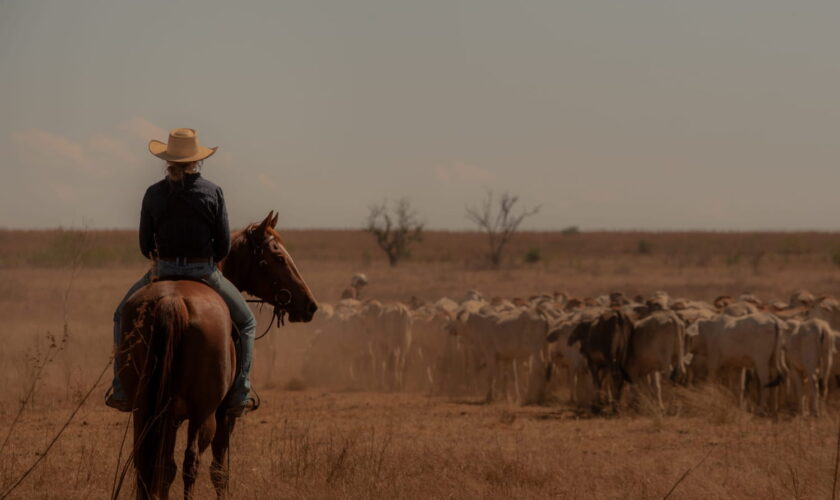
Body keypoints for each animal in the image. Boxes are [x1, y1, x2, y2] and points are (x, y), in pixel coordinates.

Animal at [115, 212, 316, 500]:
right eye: (278, 257)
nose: (310, 305)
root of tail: (172, 301)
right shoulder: (225, 416)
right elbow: (220, 470)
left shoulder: (168, 416)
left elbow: (164, 469)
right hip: (204, 414)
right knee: (191, 463)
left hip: (144, 409)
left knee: (149, 463)